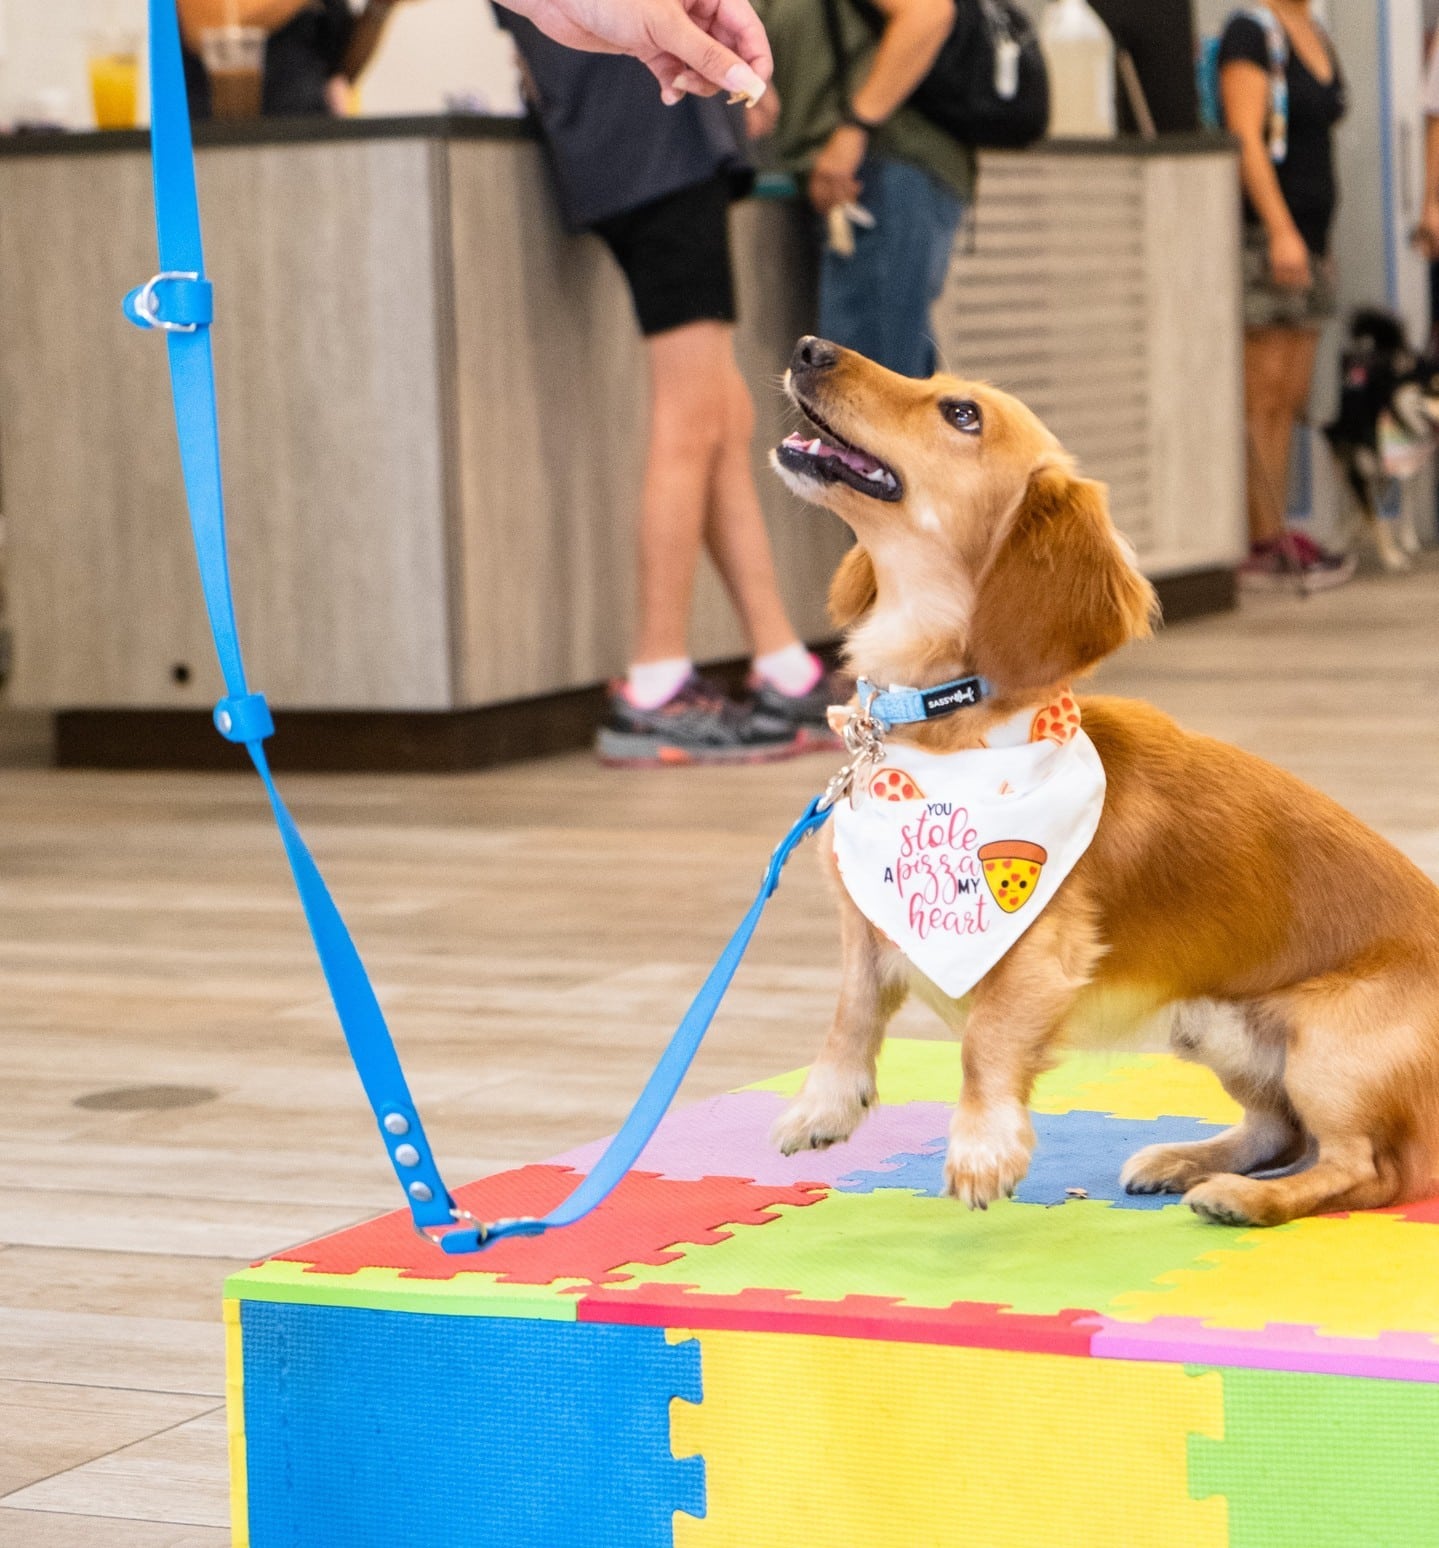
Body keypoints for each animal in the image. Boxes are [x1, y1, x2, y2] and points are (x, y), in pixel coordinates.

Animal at [1324, 306, 1435, 569]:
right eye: (1428, 390)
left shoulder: (1402, 466)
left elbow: (1385, 510)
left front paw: (1402, 545)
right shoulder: (1358, 472)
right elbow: (1376, 518)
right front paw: (1391, 557)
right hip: (1341, 457)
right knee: (1344, 495)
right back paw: (1340, 536)